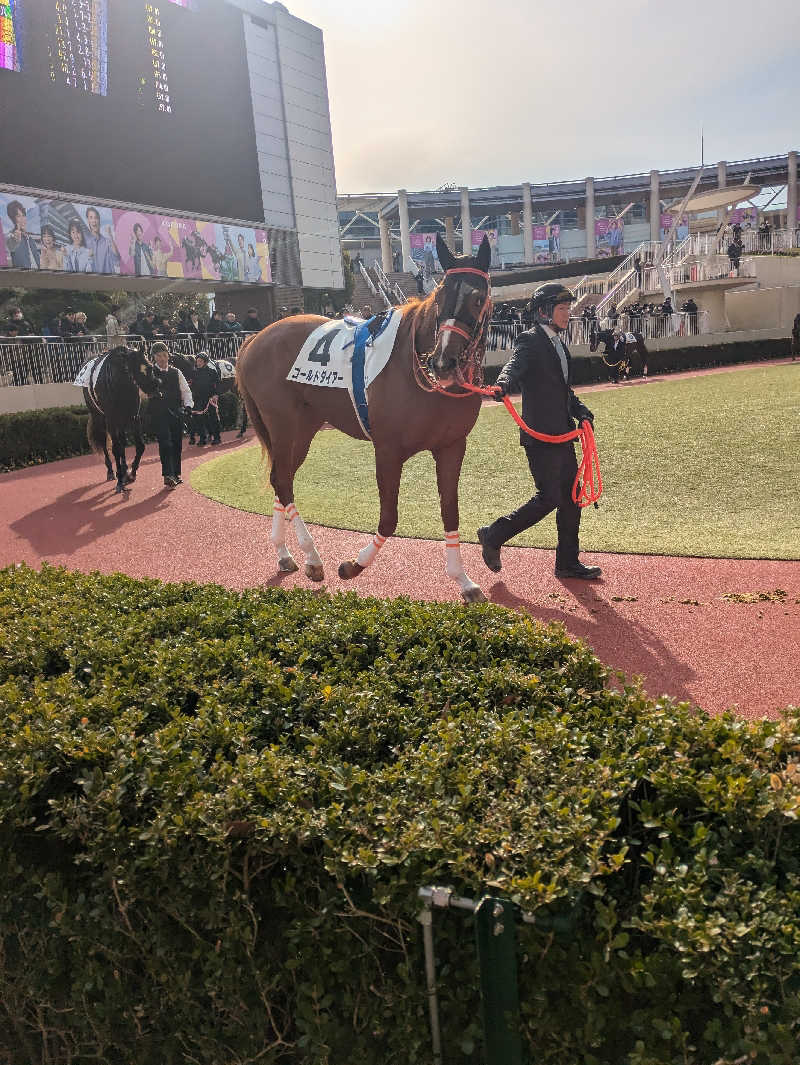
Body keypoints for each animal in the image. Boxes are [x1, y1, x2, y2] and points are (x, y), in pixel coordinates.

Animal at [84, 347, 159, 492]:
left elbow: (140, 446)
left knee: (122, 441)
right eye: (136, 371)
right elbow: (116, 448)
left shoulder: (134, 417)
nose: (155, 388)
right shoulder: (111, 420)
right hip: (99, 417)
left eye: (150, 366)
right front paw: (119, 480)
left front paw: (131, 473)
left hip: (121, 420)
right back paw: (111, 471)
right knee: (104, 442)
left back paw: (124, 470)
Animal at [234, 232, 492, 604]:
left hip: (303, 429)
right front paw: (353, 566)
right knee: (282, 480)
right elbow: (388, 518)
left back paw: (284, 554)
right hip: (282, 424)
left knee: (280, 479)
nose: (444, 361)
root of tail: (255, 338)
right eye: (440, 295)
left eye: (477, 298)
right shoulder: (387, 450)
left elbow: (450, 510)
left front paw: (464, 580)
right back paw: (312, 557)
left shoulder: (452, 446)